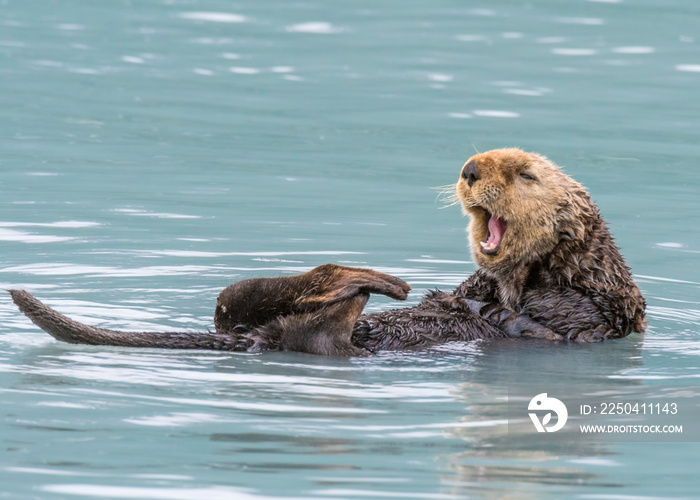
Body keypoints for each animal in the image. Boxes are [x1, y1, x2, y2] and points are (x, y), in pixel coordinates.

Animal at [9, 148, 644, 356]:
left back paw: (372, 284)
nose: (470, 169)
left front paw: (495, 307)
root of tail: (259, 338)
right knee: (243, 298)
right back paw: (380, 282)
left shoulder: (596, 307)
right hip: (246, 313)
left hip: (319, 338)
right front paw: (466, 297)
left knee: (316, 317)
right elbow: (473, 292)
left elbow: (552, 314)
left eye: (527, 174)